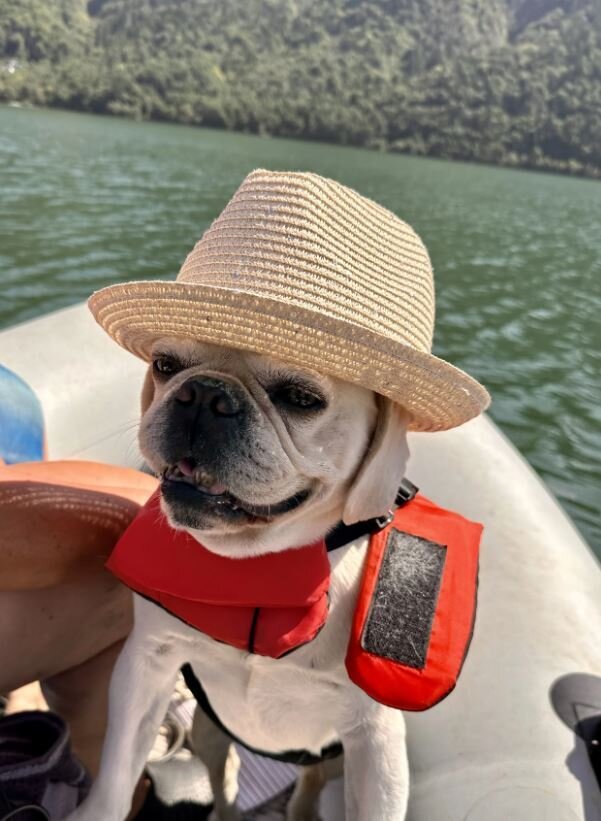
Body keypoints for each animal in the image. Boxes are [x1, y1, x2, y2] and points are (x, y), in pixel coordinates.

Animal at [67, 334, 412, 820]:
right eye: (164, 365)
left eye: (301, 398)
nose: (205, 393)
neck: (256, 558)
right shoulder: (147, 663)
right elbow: (118, 766)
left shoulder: (375, 739)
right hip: (207, 730)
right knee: (224, 775)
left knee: (310, 781)